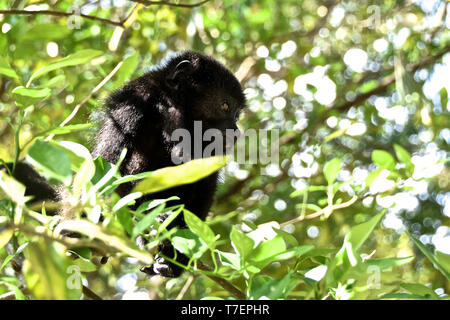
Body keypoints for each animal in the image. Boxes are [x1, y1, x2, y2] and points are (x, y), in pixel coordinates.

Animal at [92, 51, 246, 276]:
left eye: (236, 115)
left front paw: (178, 255)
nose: (236, 131)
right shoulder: (131, 104)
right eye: (225, 105)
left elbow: (205, 185)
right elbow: (107, 166)